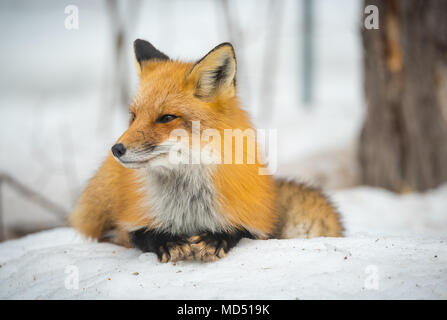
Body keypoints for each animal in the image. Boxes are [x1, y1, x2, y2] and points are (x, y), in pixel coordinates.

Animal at [70, 39, 344, 262]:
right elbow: (140, 235)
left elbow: (238, 230)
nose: (116, 149)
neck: (188, 205)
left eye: (166, 117)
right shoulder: (132, 220)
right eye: (133, 116)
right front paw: (168, 241)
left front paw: (215, 239)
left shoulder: (254, 220)